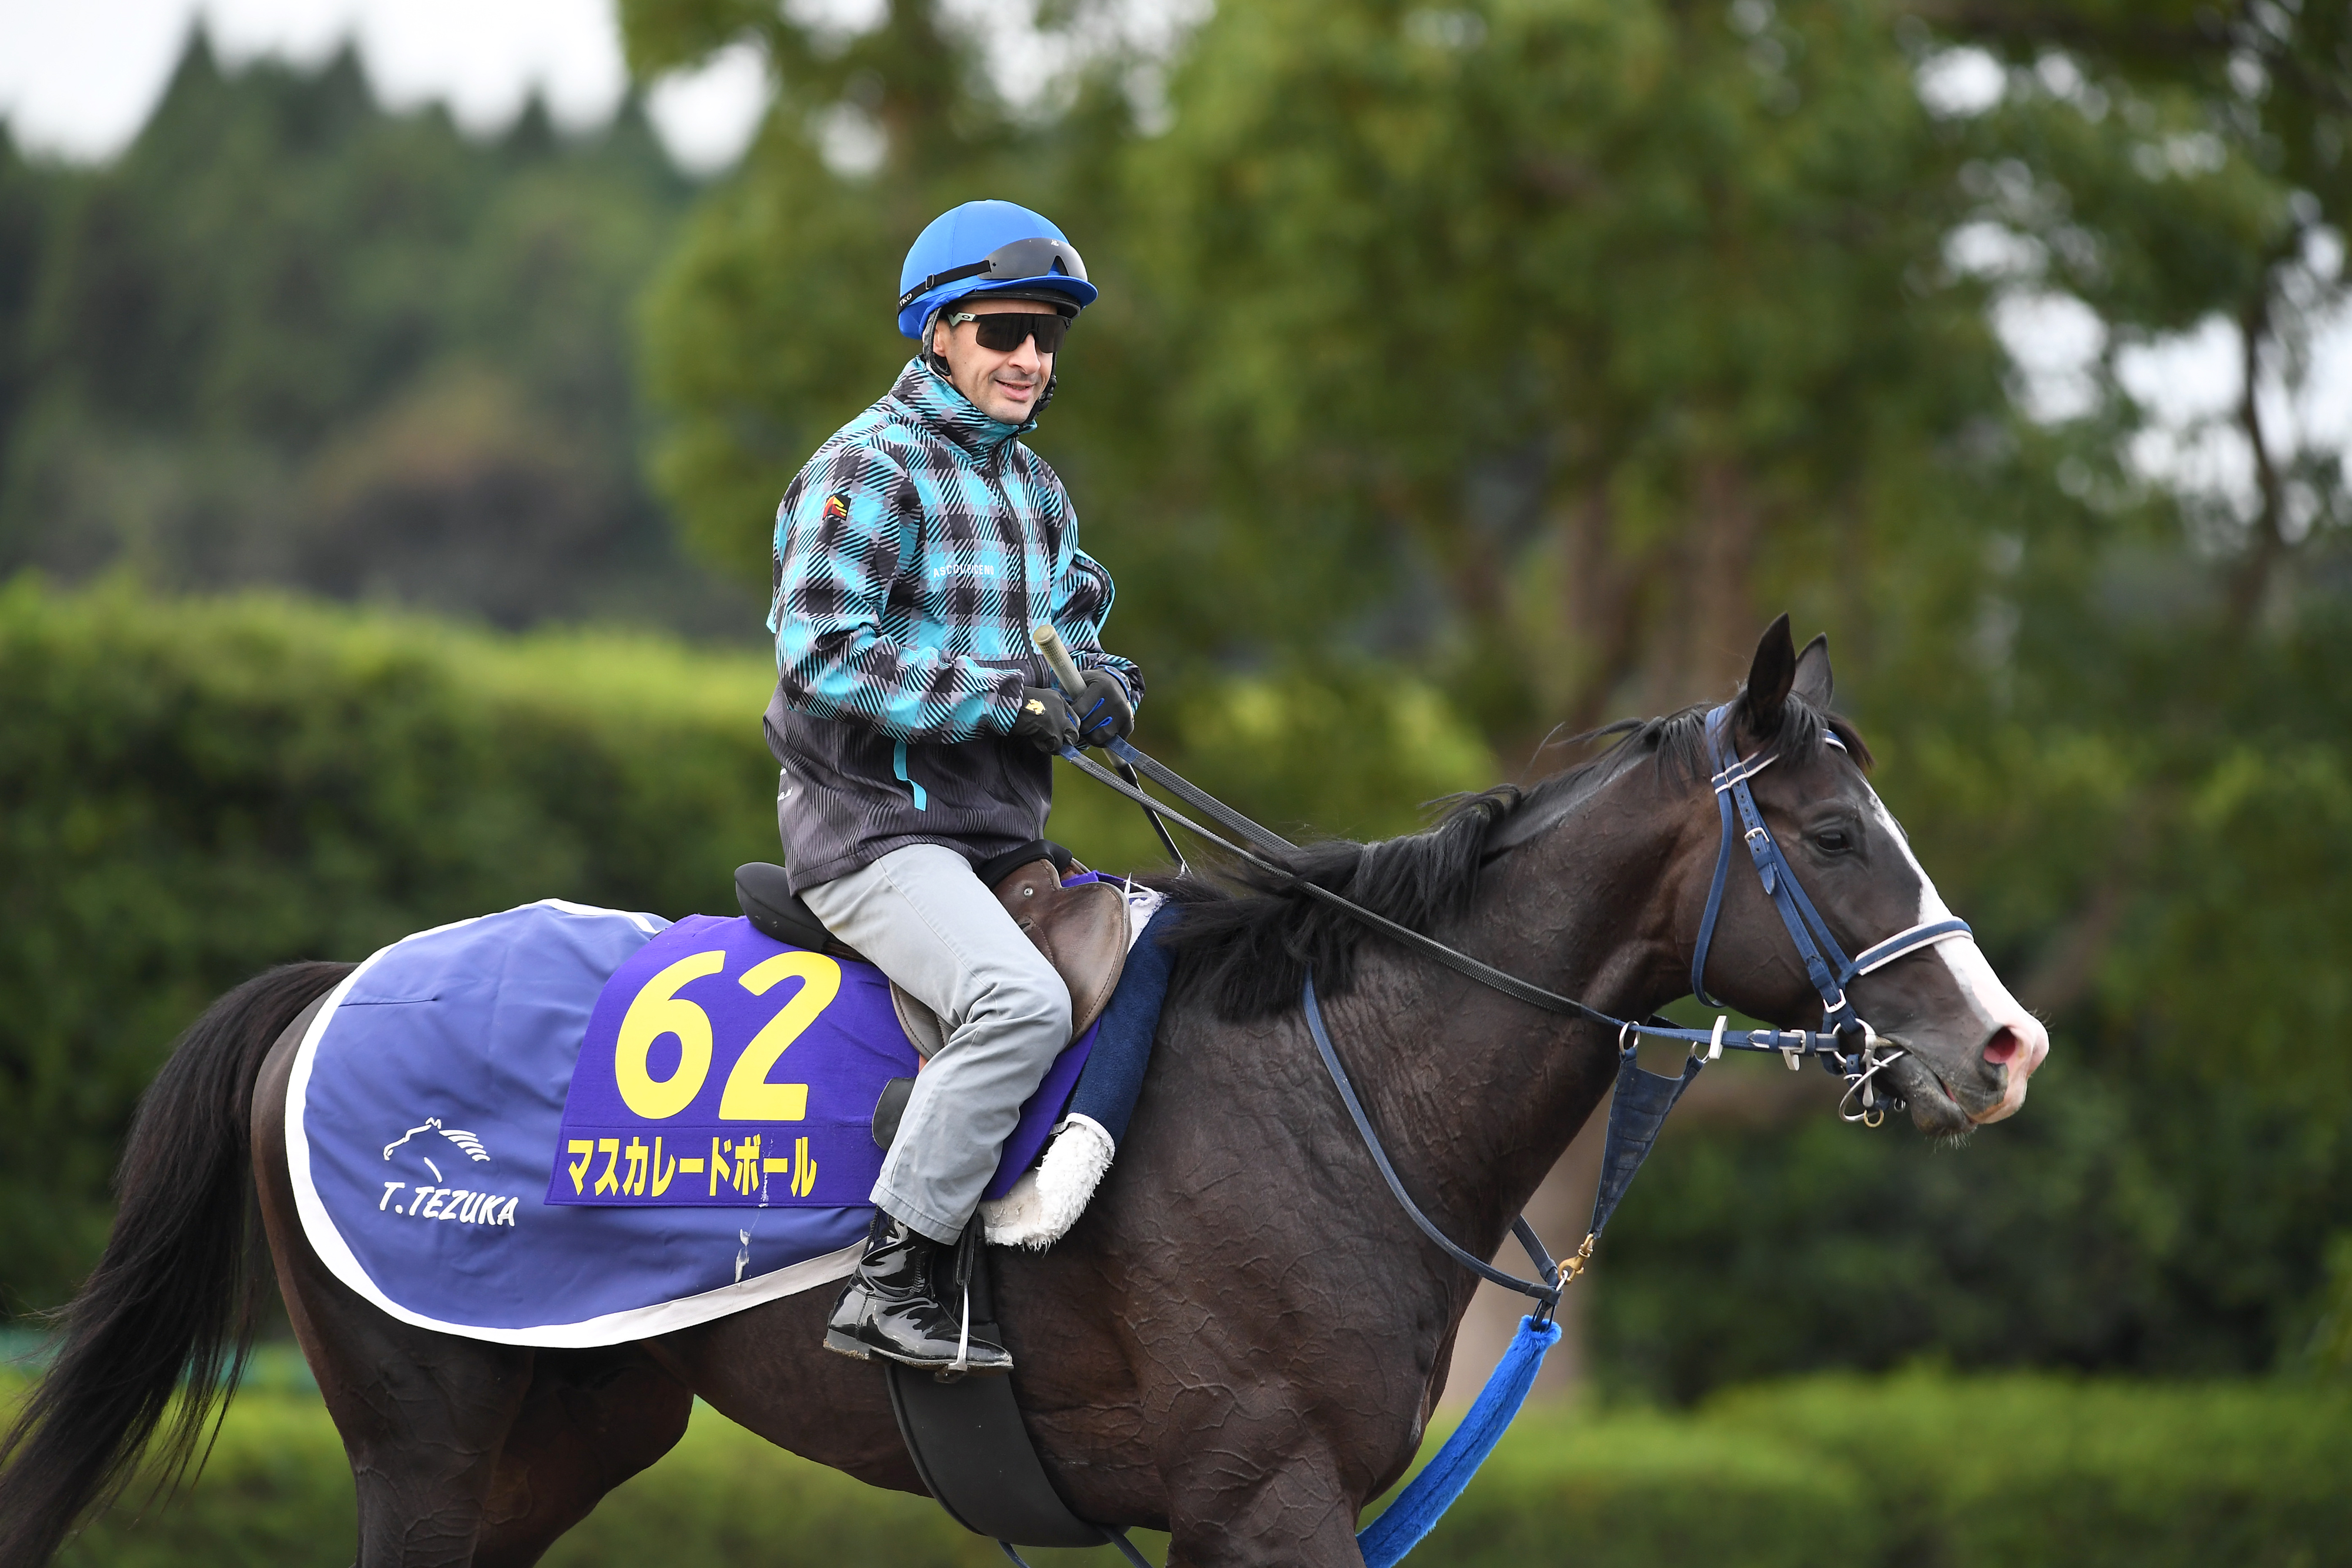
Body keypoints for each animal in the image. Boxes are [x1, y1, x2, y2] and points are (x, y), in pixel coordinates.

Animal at [0, 617, 2047, 1567]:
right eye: (1837, 835)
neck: (1339, 1092)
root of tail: (319, 992)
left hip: (572, 1432)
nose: (2005, 1044)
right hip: (431, 1441)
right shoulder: (1266, 1501)